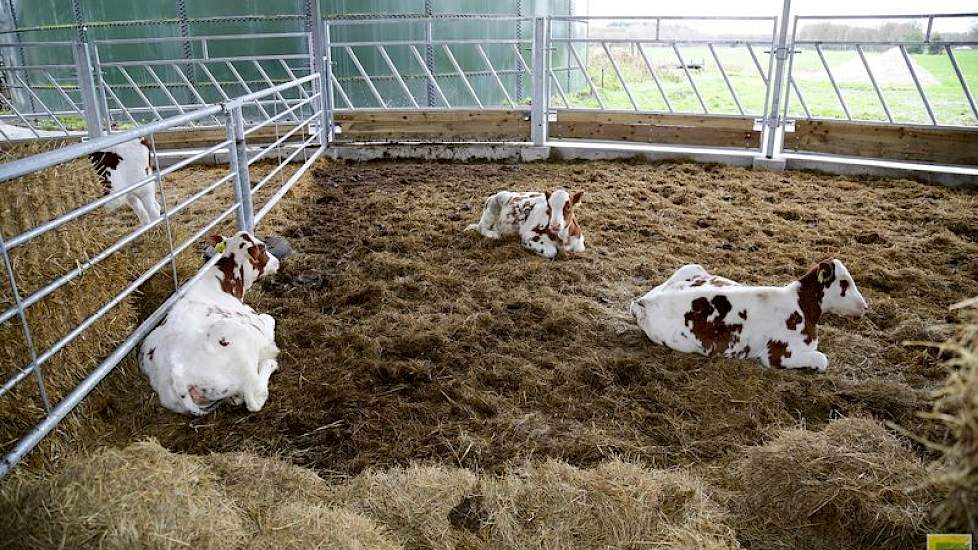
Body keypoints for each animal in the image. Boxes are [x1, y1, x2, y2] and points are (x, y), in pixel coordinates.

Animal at [139, 231, 280, 416]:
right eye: (263, 248)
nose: (277, 262)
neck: (222, 284)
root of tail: (177, 378)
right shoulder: (256, 322)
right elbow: (270, 319)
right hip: (241, 350)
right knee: (254, 398)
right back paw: (270, 364)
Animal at [632, 260, 868, 374]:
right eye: (844, 283)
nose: (865, 306)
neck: (802, 307)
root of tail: (643, 301)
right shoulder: (778, 355)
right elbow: (822, 359)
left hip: (690, 267)